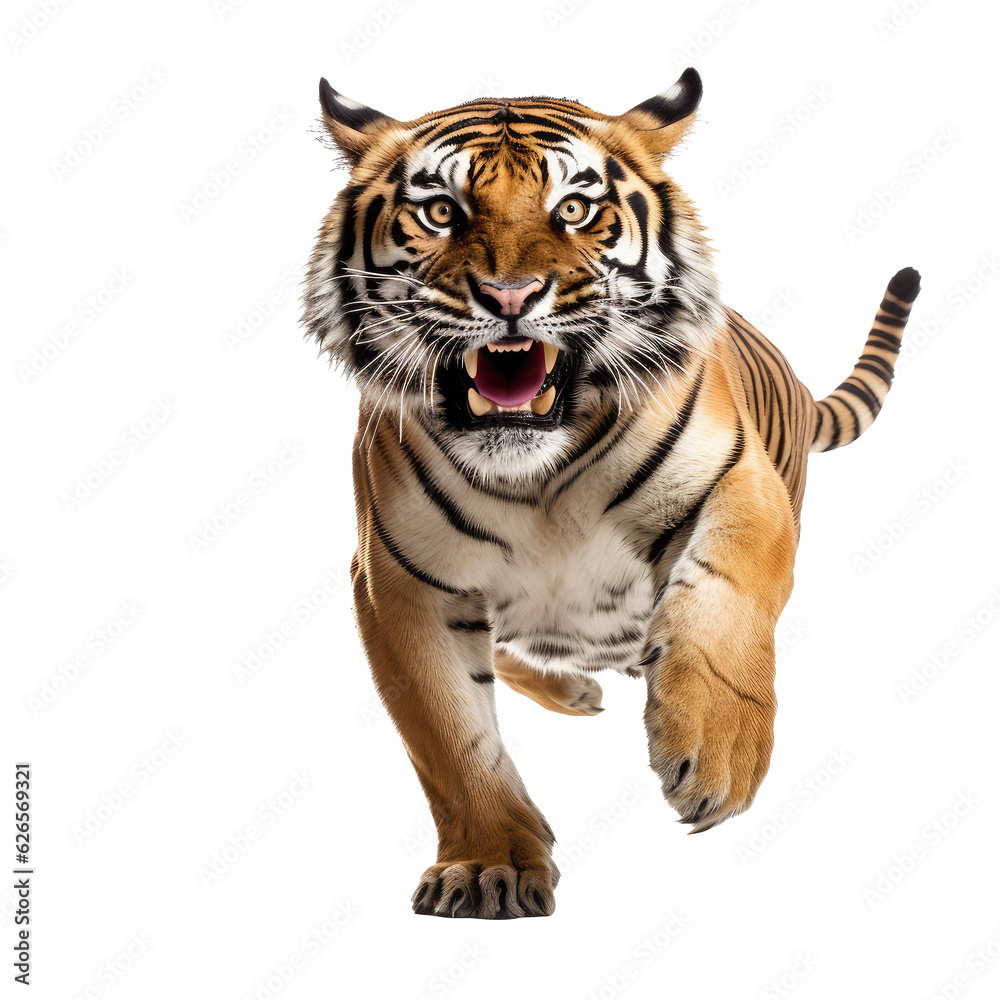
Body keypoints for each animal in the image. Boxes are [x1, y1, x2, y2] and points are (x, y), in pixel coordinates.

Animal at [301, 68, 920, 919]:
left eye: (574, 209)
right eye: (441, 211)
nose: (510, 296)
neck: (533, 474)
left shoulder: (738, 483)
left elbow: (724, 603)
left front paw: (717, 754)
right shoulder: (401, 581)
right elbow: (450, 735)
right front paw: (487, 866)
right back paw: (574, 690)